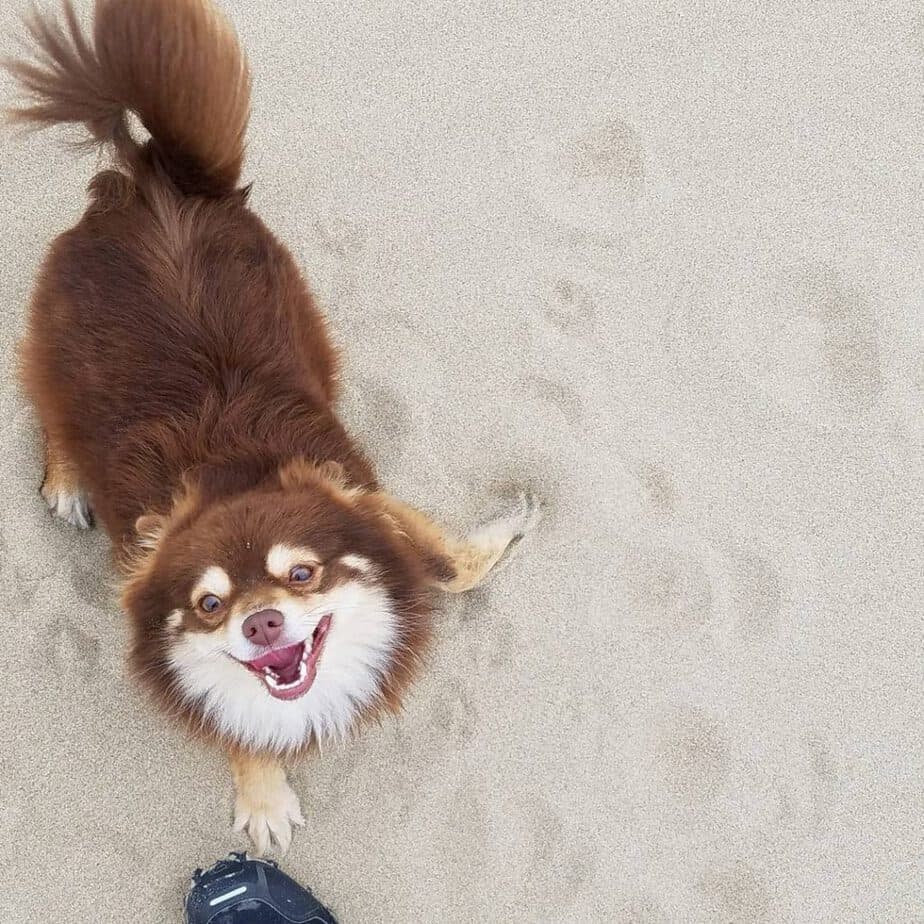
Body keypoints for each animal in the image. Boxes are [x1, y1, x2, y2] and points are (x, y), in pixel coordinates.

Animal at [5, 0, 540, 856]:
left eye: (302, 575)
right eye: (208, 606)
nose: (262, 623)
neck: (231, 476)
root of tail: (150, 184)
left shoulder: (368, 494)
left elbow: (453, 566)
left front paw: (505, 528)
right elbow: (240, 730)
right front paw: (262, 795)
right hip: (58, 348)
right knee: (49, 404)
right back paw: (64, 480)